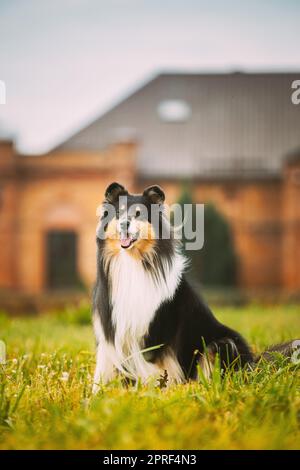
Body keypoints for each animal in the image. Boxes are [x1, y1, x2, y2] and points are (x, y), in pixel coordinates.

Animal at [93, 182, 298, 392]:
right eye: (119, 213)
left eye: (139, 214)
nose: (124, 224)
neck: (133, 262)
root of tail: (252, 363)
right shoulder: (109, 329)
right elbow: (103, 368)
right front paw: (97, 394)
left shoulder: (155, 331)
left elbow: (151, 369)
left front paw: (153, 392)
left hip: (220, 343)